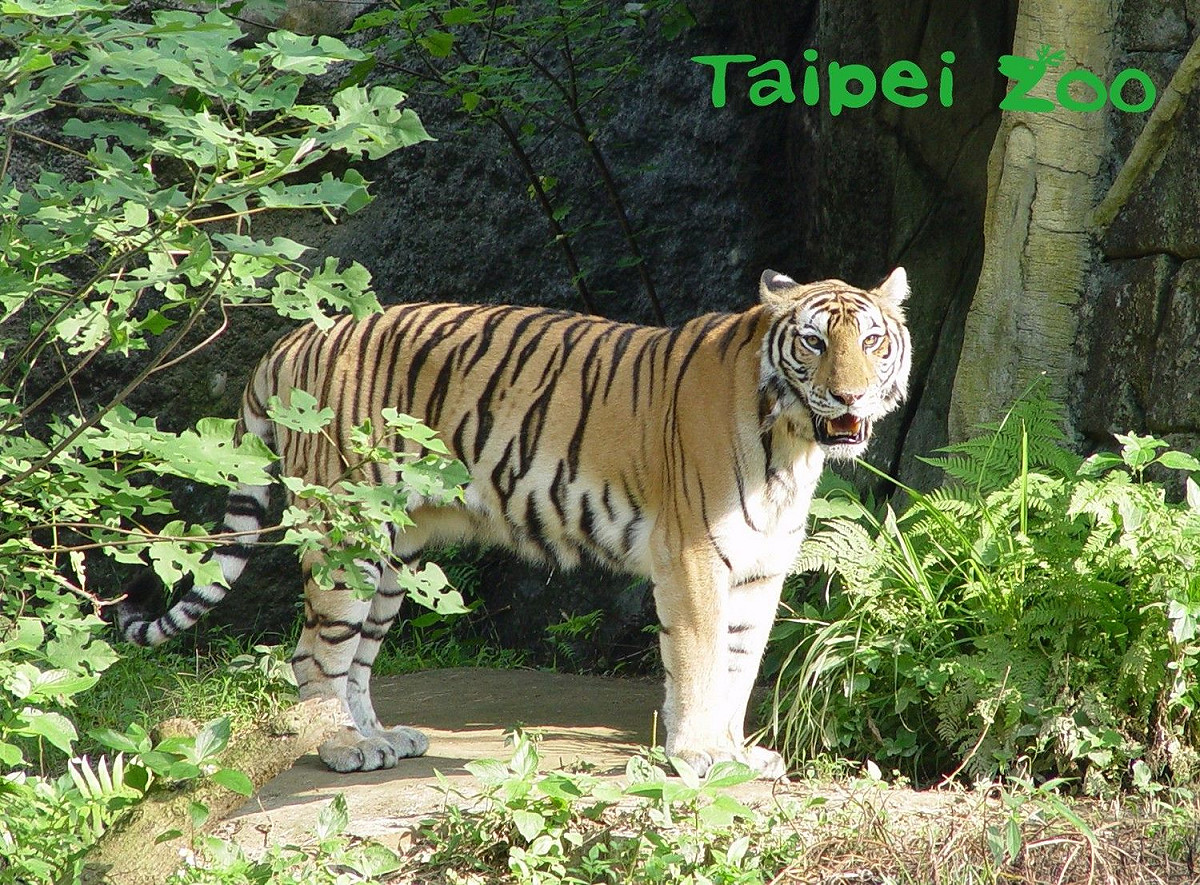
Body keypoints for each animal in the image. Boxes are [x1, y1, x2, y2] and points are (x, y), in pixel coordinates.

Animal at [118, 267, 912, 778]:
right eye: (813, 342)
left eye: (872, 342)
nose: (850, 396)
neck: (792, 444)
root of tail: (293, 342)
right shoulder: (689, 558)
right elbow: (698, 662)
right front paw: (697, 757)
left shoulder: (758, 565)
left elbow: (739, 667)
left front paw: (737, 752)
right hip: (348, 539)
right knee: (315, 656)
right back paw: (342, 747)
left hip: (396, 555)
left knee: (358, 660)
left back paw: (383, 737)